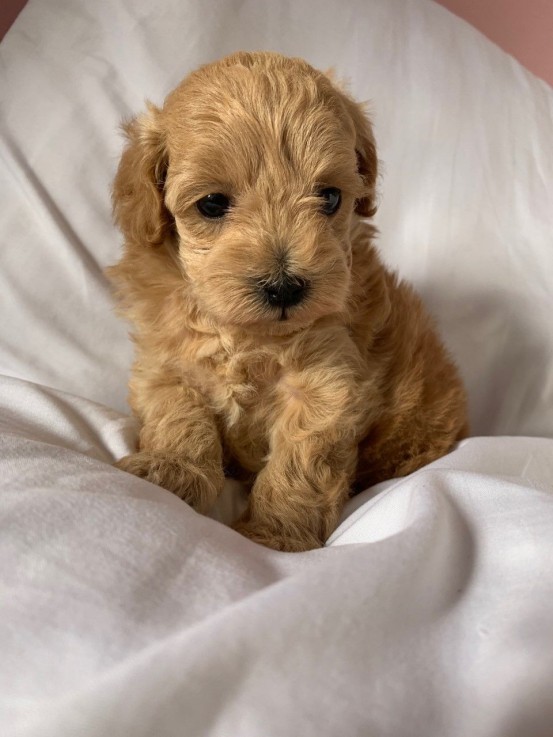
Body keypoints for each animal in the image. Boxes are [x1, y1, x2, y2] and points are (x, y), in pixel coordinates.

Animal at [110, 51, 468, 548]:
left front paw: (273, 535)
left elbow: (301, 465)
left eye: (330, 197)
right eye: (212, 204)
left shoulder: (327, 384)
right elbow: (177, 418)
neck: (243, 335)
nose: (284, 287)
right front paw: (171, 471)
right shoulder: (165, 367)